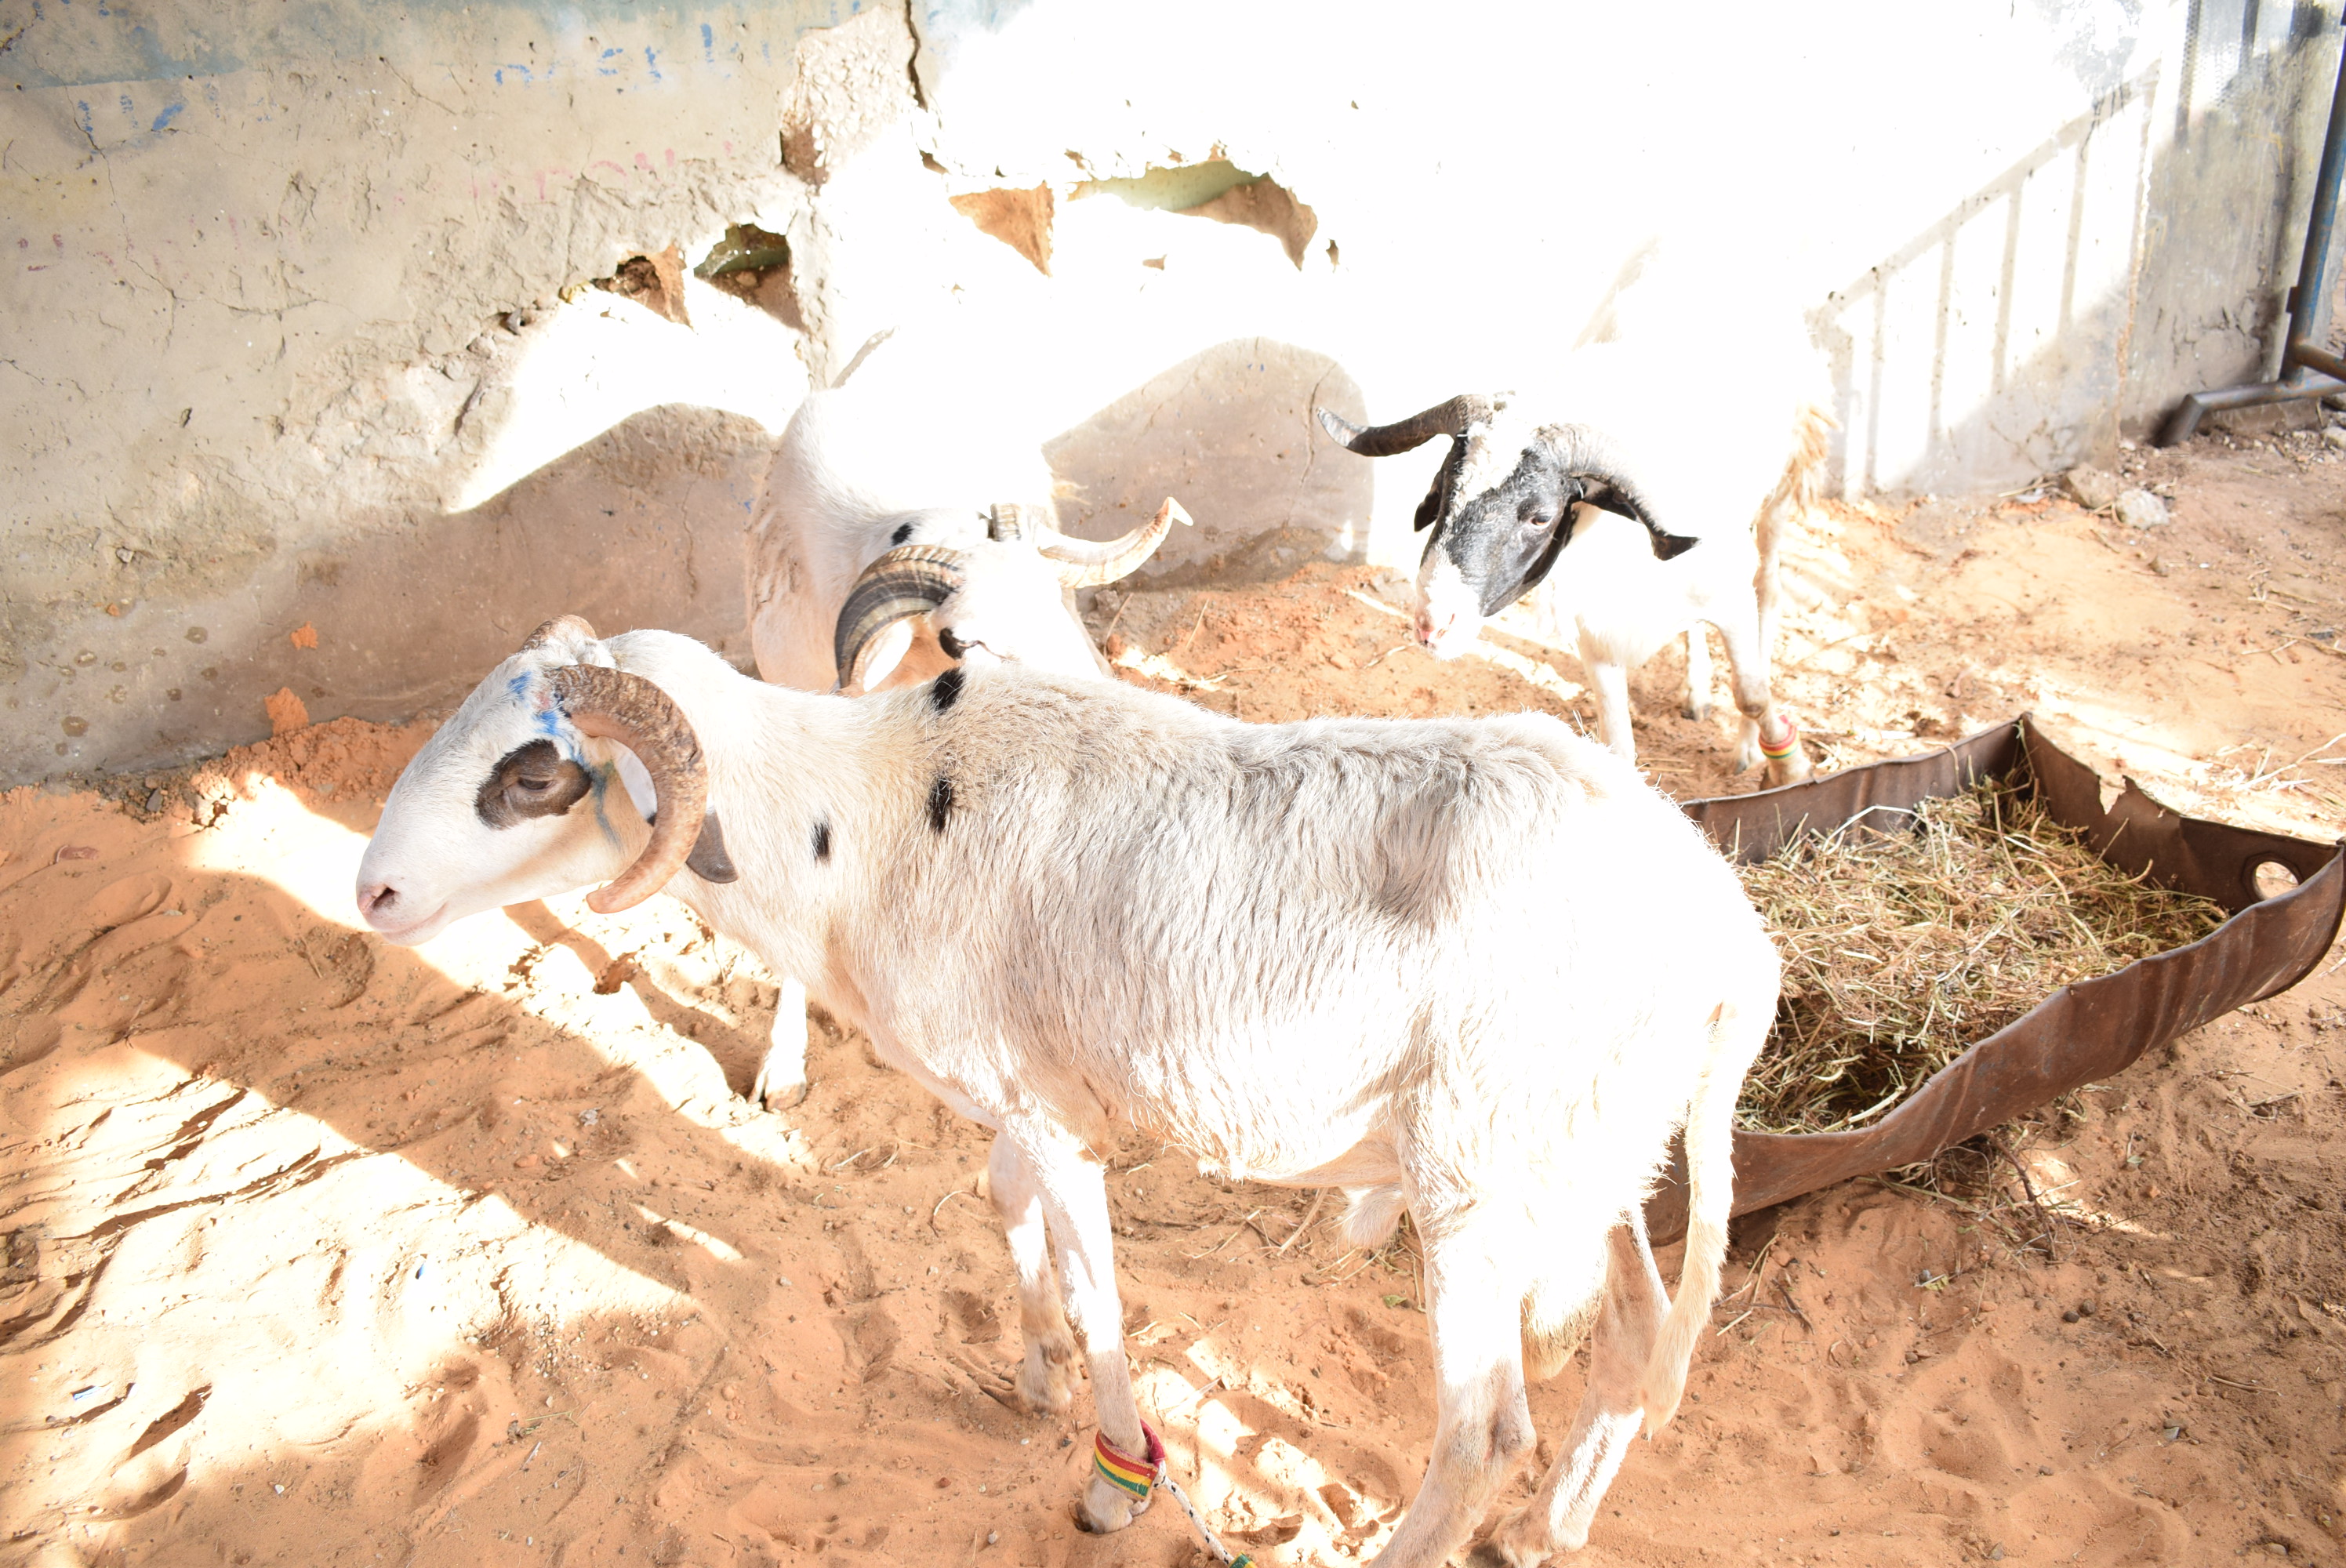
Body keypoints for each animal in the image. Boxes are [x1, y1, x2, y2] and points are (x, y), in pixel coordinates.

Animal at [347, 610, 1773, 1567]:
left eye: (533, 775)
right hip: (1589, 1163)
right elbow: (1006, 1206)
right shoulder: (1022, 1094)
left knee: (1480, 1436)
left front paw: (1111, 1479)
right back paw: (1552, 1530)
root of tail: (1731, 941)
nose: (372, 892)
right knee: (1635, 1342)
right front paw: (1029, 1370)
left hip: (1474, 1182)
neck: (847, 822)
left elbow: (1098, 1296)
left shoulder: (1051, 1117)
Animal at [1323, 343, 1829, 788]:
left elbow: (1752, 694)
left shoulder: (1729, 599)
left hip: (1782, 489)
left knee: (1769, 593)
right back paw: (1698, 693)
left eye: (1541, 516)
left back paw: (1747, 748)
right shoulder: (1597, 641)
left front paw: (1791, 770)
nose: (1432, 625)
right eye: (1445, 486)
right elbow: (1619, 748)